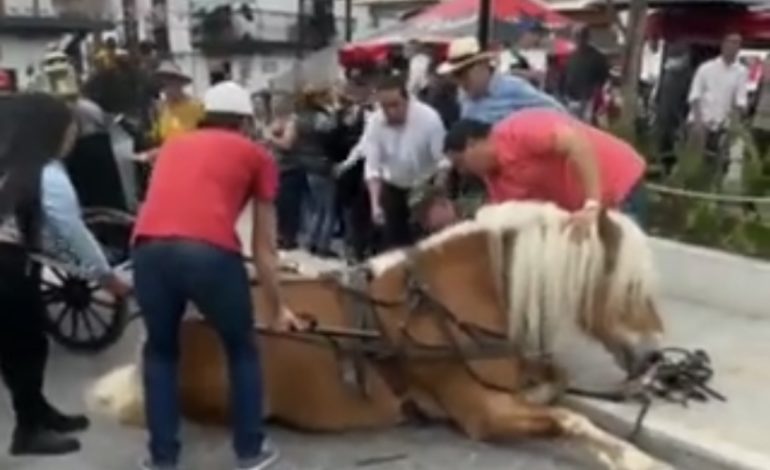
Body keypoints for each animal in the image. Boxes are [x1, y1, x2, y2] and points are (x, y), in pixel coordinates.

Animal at [90, 202, 668, 470]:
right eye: (631, 287)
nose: (657, 356)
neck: (450, 298)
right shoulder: (482, 413)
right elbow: (568, 418)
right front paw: (636, 458)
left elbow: (559, 384)